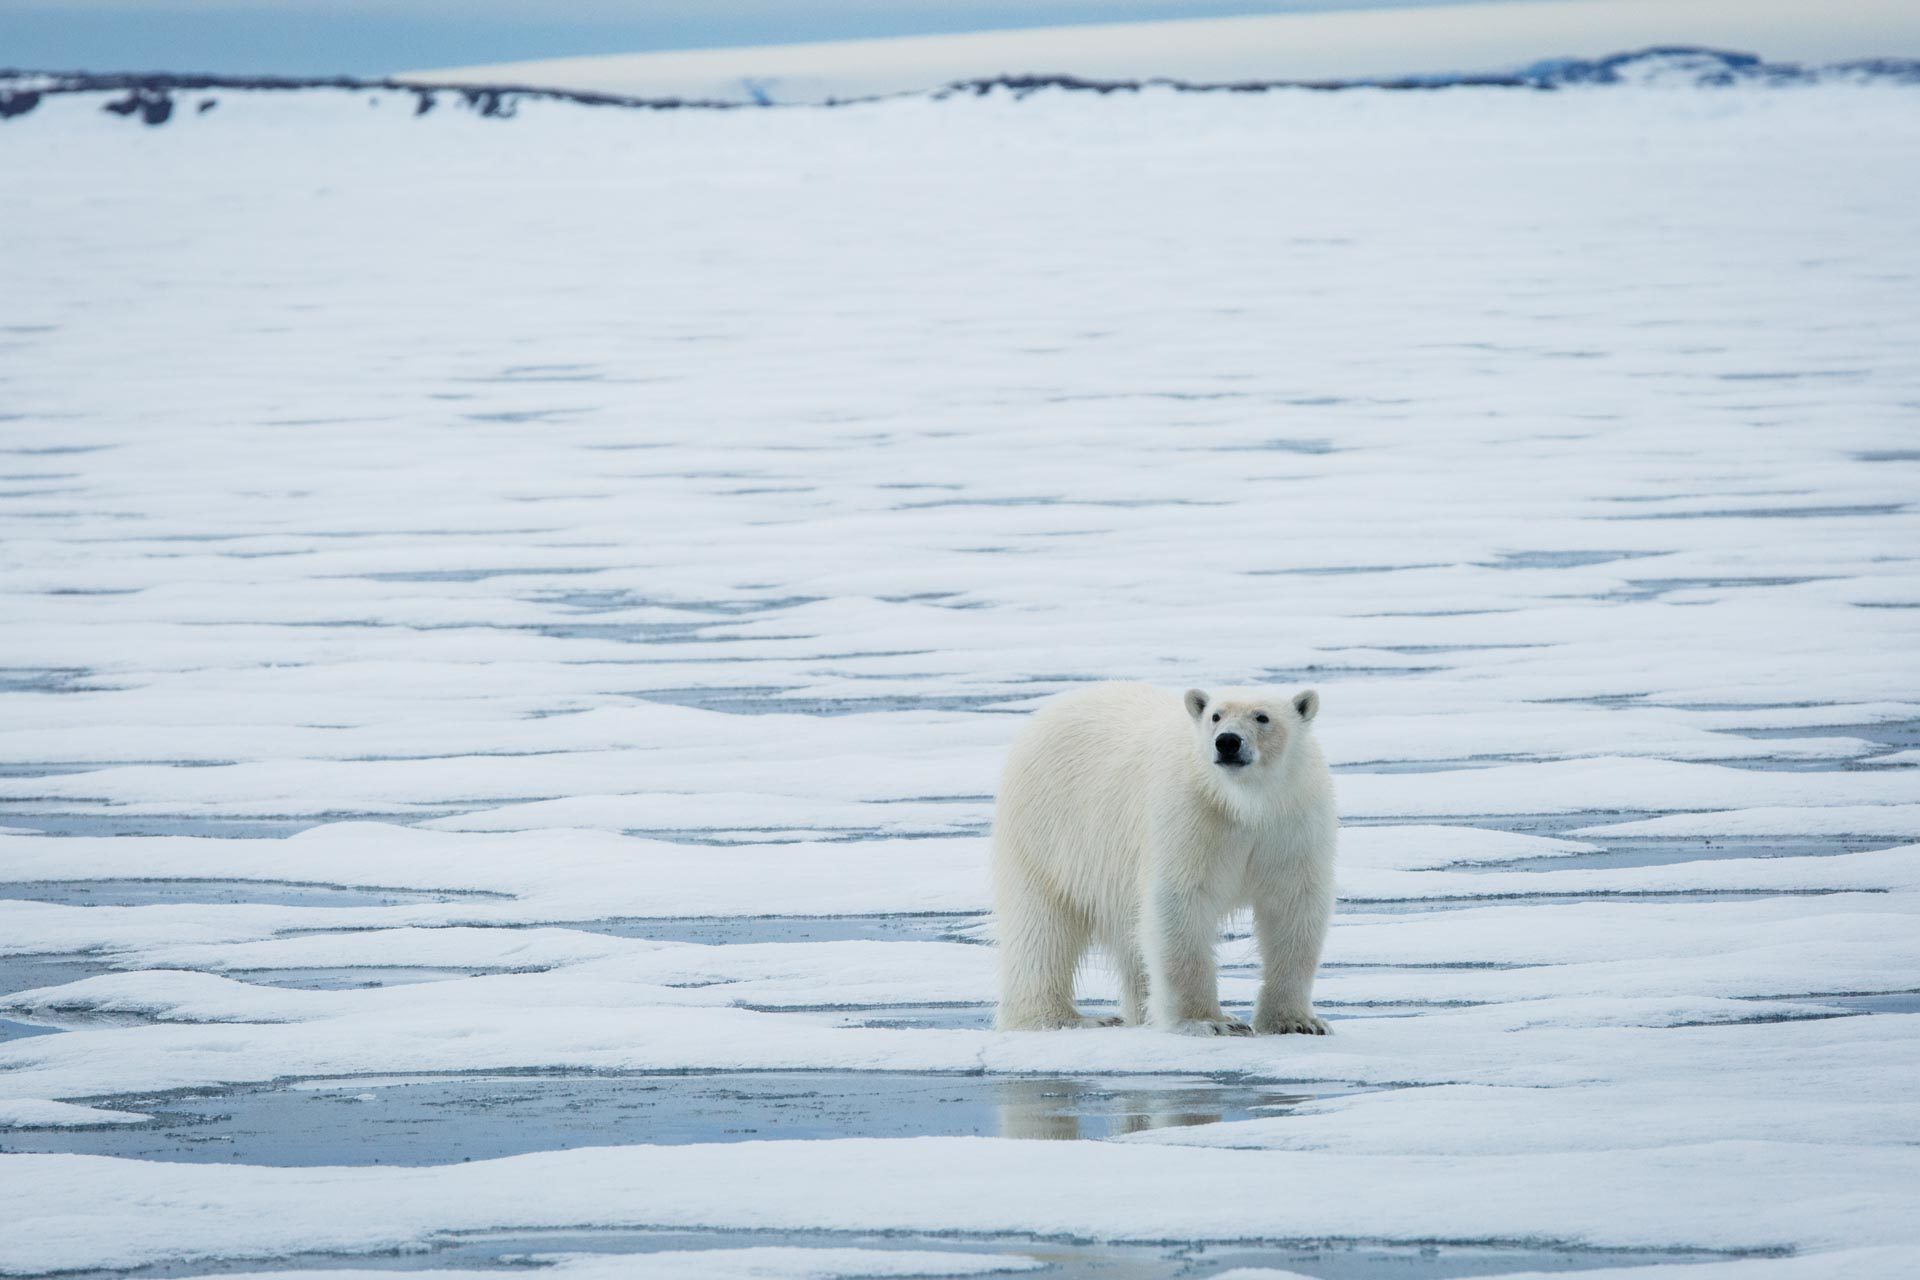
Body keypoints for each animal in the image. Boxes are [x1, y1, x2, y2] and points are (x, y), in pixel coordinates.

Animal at [992, 682, 1337, 1036]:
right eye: (1216, 716)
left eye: (1262, 717)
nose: (1227, 742)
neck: (1243, 803)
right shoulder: (1191, 815)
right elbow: (1179, 904)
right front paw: (1209, 1022)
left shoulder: (1291, 826)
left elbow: (1293, 909)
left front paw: (1298, 1022)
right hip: (1046, 834)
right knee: (1042, 927)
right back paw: (1066, 1019)